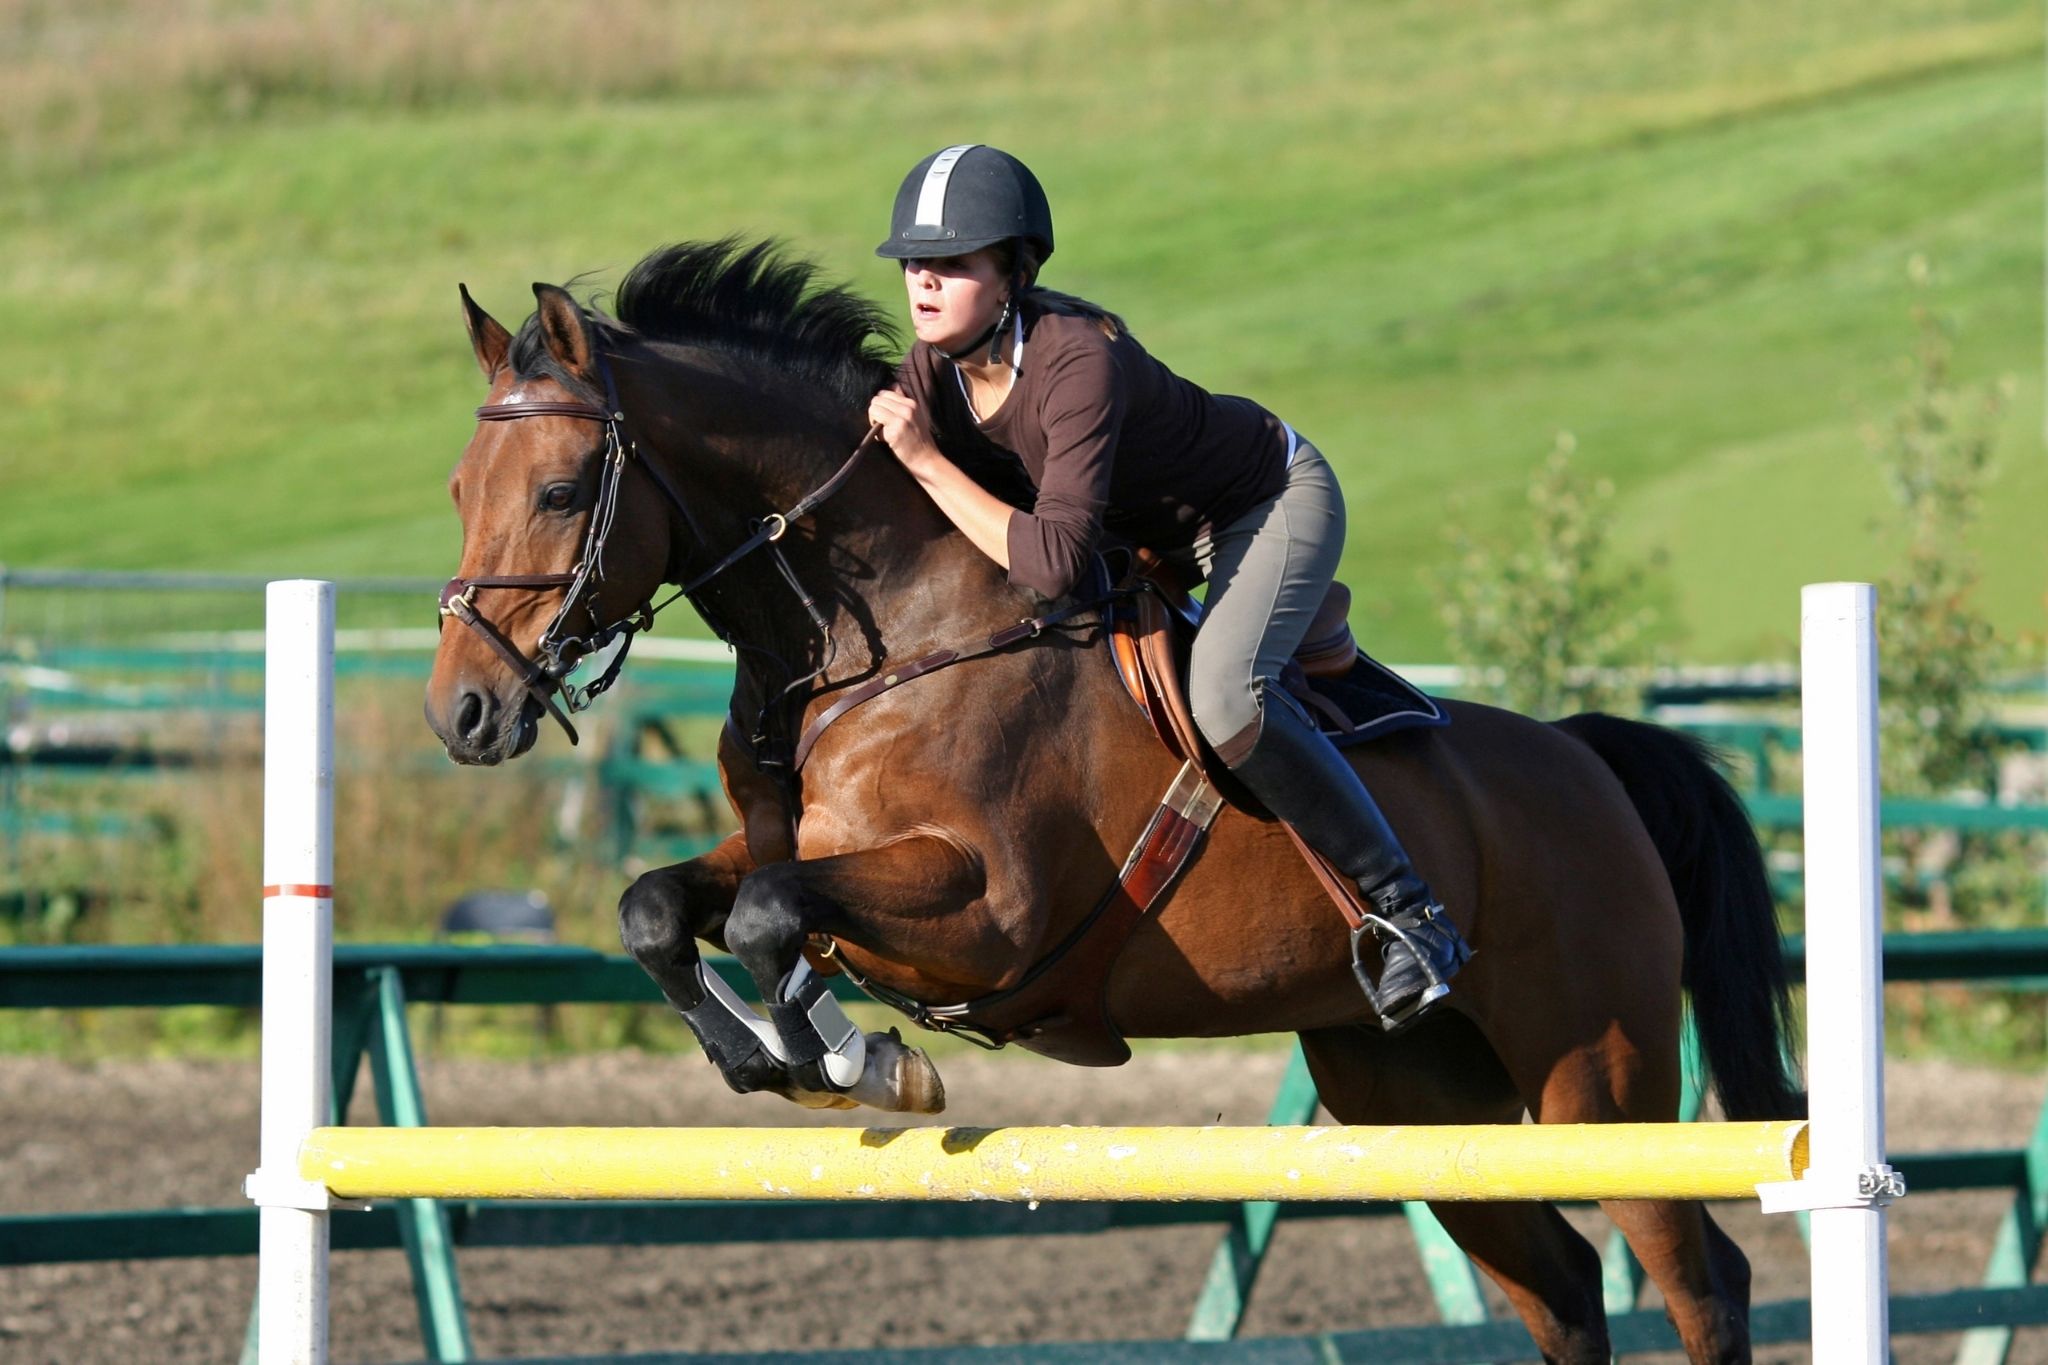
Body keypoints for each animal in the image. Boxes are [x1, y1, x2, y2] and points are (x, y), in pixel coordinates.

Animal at [428, 240, 1794, 1358]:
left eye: (559, 494)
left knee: (1700, 1277)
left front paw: (862, 1061)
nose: (462, 716)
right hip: (1414, 1096)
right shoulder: (795, 851)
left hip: (1596, 1076)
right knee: (1560, 1286)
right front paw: (779, 1056)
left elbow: (772, 914)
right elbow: (660, 908)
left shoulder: (987, 912)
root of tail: (1585, 760)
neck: (882, 631)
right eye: (455, 490)